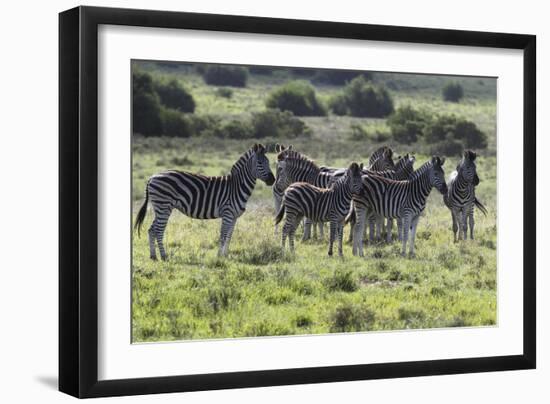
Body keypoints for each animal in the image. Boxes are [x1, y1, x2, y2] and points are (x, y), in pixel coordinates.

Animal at [135, 144, 276, 260]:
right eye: (260, 162)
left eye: (269, 162)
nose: (272, 180)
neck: (237, 186)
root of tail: (152, 177)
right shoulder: (227, 213)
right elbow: (223, 235)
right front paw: (219, 257)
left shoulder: (234, 216)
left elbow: (229, 236)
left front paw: (226, 256)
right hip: (164, 207)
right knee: (158, 231)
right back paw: (164, 256)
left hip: (160, 208)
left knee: (151, 230)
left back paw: (153, 256)